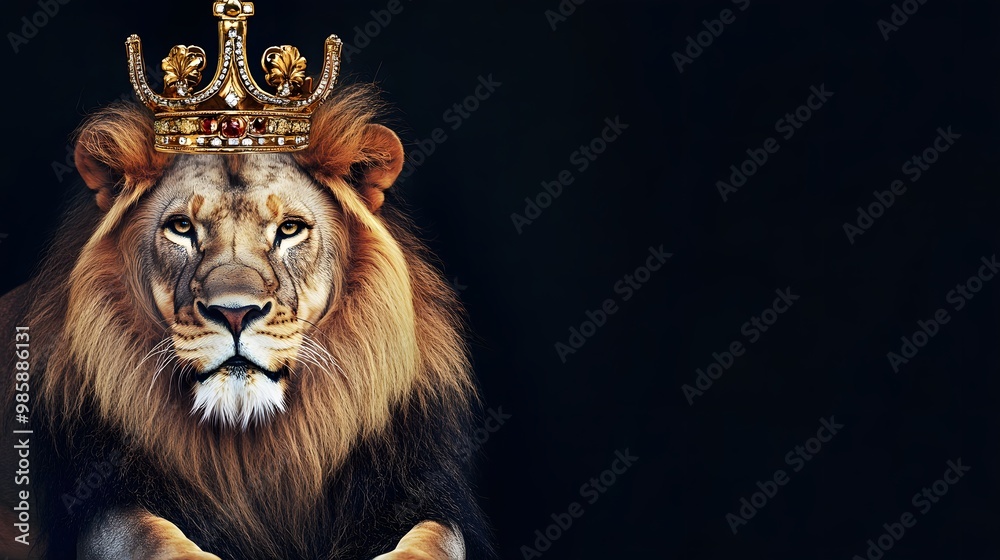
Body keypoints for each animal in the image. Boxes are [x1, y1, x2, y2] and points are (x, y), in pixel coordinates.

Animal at [0, 84, 492, 559]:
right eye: (182, 227)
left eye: (289, 229)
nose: (234, 312)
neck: (249, 437)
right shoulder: (105, 500)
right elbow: (151, 538)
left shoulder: (416, 494)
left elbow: (435, 541)